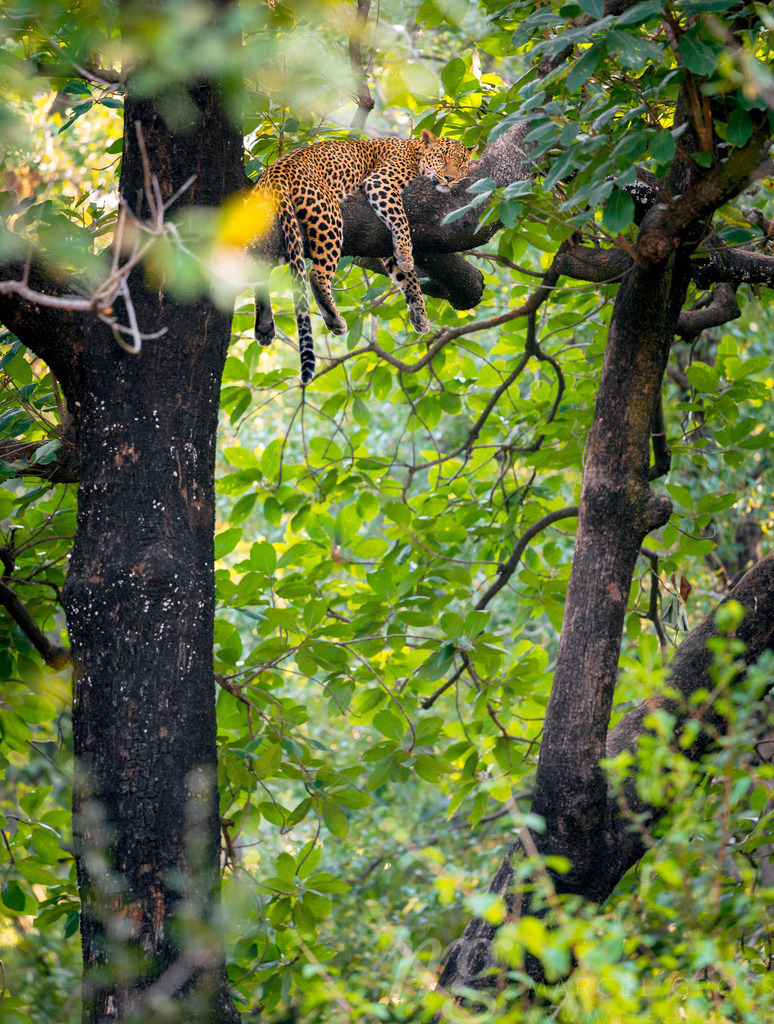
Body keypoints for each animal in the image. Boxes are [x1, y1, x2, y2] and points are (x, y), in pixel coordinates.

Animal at [251, 129, 475, 384]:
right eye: (442, 157)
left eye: (462, 164)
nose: (450, 178)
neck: (414, 152)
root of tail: (275, 170)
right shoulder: (381, 183)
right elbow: (401, 218)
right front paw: (406, 254)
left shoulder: (383, 243)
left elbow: (407, 277)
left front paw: (419, 312)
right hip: (328, 215)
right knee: (316, 274)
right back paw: (333, 317)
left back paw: (265, 325)